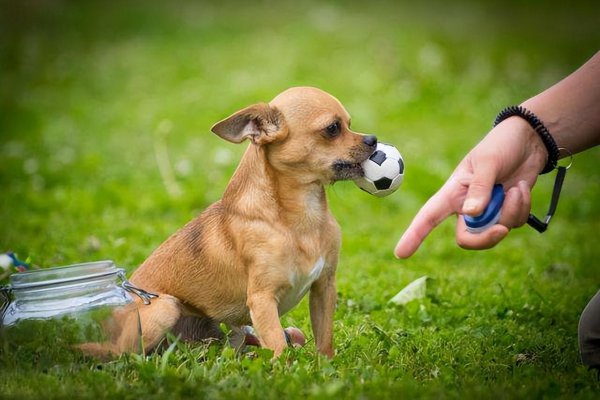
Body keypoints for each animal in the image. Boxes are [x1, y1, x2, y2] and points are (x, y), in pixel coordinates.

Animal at [84, 86, 376, 358]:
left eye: (349, 123)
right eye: (333, 128)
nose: (373, 139)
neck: (301, 217)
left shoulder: (324, 288)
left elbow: (324, 339)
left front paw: (325, 367)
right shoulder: (262, 300)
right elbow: (278, 347)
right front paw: (286, 371)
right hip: (165, 307)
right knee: (125, 354)